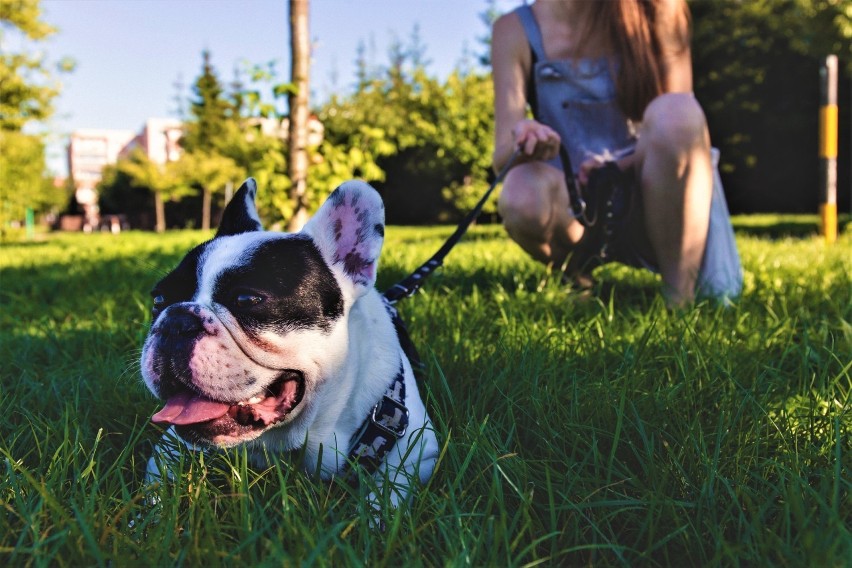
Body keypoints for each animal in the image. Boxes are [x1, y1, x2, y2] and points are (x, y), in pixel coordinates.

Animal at [141, 178, 440, 506]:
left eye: (247, 299)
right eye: (158, 300)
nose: (176, 321)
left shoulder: (417, 454)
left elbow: (385, 496)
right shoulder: (170, 446)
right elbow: (153, 489)